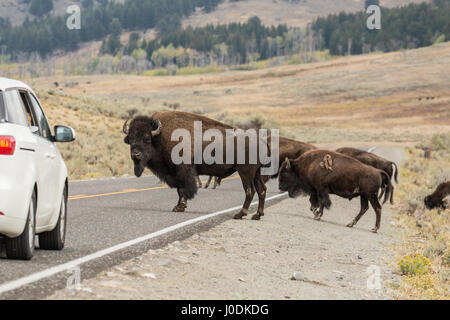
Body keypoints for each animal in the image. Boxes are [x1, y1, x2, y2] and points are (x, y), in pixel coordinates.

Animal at [122, 110, 270, 220]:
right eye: (130, 139)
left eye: (147, 138)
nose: (135, 155)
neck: (160, 137)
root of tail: (261, 141)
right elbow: (179, 190)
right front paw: (178, 206)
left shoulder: (183, 170)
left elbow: (183, 189)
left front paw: (179, 207)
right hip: (256, 173)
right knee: (262, 190)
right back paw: (257, 215)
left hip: (245, 172)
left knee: (250, 190)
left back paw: (240, 214)